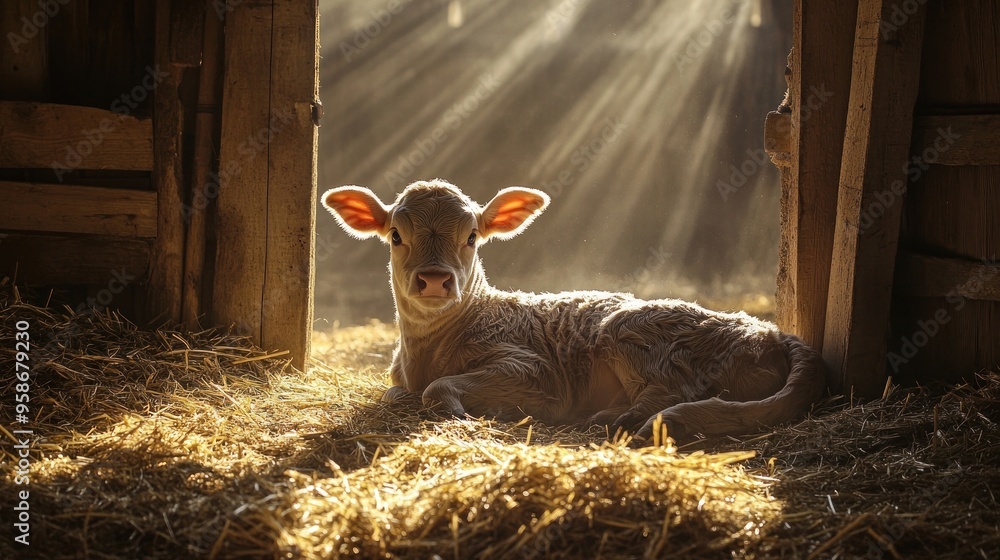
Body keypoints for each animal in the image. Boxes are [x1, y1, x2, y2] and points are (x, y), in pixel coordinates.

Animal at [322, 179, 828, 442]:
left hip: (635, 330)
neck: (426, 351)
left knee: (671, 394)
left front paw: (466, 411)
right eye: (395, 235)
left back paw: (620, 420)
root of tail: (771, 331)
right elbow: (398, 394)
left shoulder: (534, 370)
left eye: (472, 236)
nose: (433, 279)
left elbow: (437, 389)